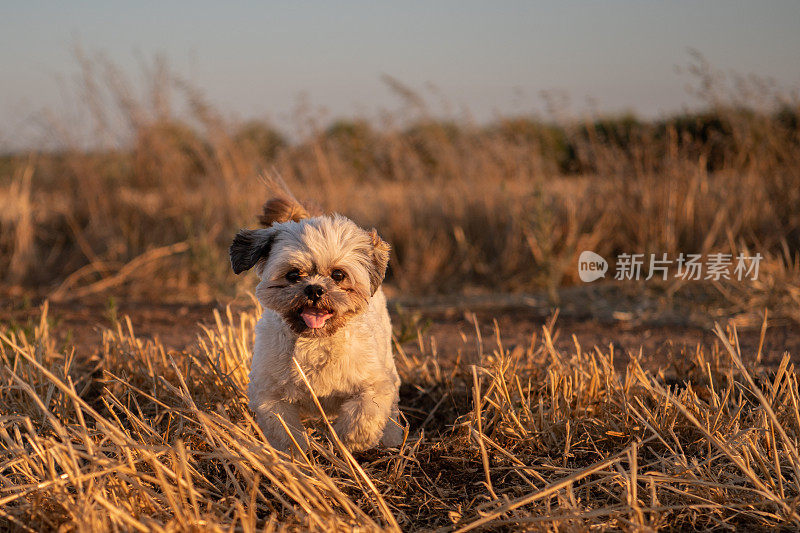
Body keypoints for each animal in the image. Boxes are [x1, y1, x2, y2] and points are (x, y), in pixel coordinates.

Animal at [231, 197, 406, 450]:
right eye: (293, 275)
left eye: (338, 275)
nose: (314, 289)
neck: (316, 340)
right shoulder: (270, 396)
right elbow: (285, 433)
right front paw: (297, 454)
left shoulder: (374, 384)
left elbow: (363, 415)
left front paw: (347, 440)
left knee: (390, 412)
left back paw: (391, 439)